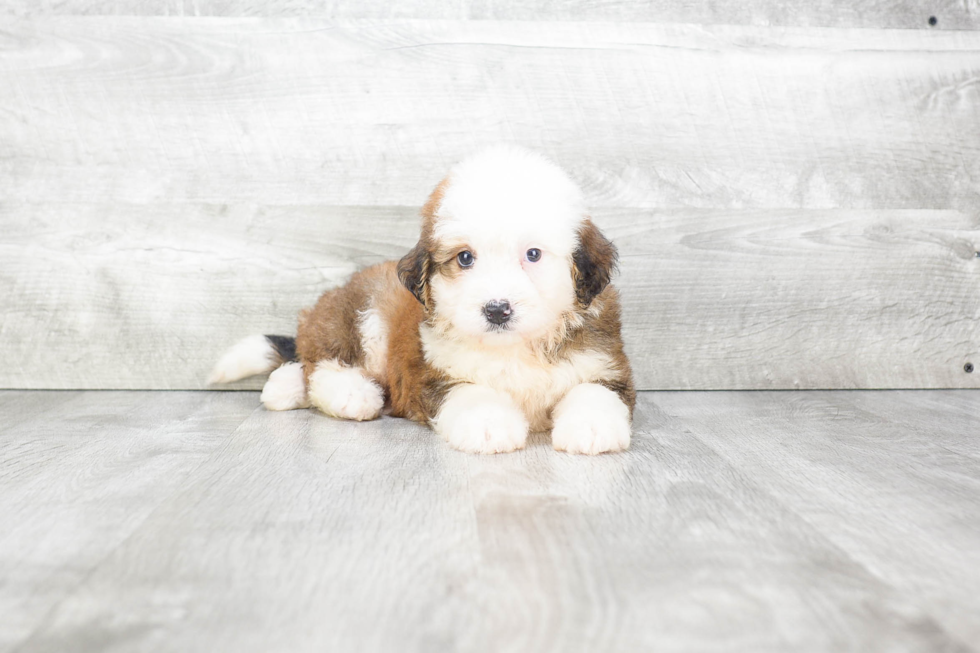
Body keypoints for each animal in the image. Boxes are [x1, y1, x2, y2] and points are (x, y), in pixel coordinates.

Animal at [208, 146, 636, 454]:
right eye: (465, 258)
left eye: (533, 254)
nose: (497, 309)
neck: (513, 348)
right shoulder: (435, 373)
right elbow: (470, 391)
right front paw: (489, 424)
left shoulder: (604, 363)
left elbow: (594, 390)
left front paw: (591, 426)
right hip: (361, 316)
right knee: (323, 364)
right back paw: (349, 394)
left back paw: (283, 388)